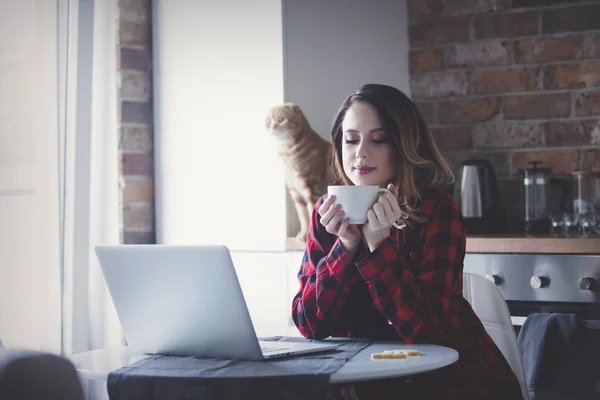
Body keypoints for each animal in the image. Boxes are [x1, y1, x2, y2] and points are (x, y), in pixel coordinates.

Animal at [264, 103, 336, 242]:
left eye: (280, 119)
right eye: (269, 121)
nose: (272, 127)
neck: (286, 152)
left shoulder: (312, 188)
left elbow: (311, 211)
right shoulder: (294, 190)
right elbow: (303, 215)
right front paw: (303, 234)